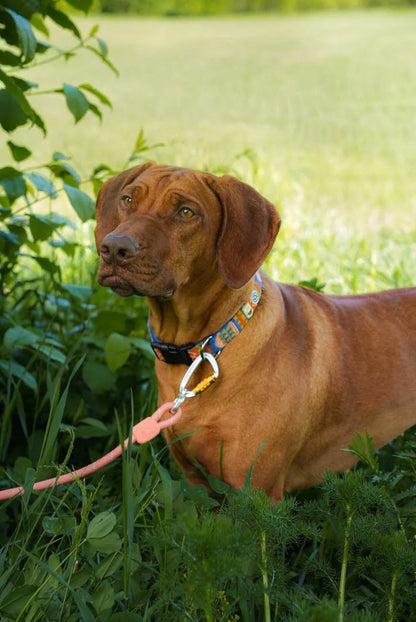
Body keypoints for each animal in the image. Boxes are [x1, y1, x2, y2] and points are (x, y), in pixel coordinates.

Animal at [96, 162, 416, 502]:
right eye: (128, 200)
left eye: (185, 212)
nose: (114, 248)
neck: (207, 347)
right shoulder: (198, 483)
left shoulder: (256, 492)